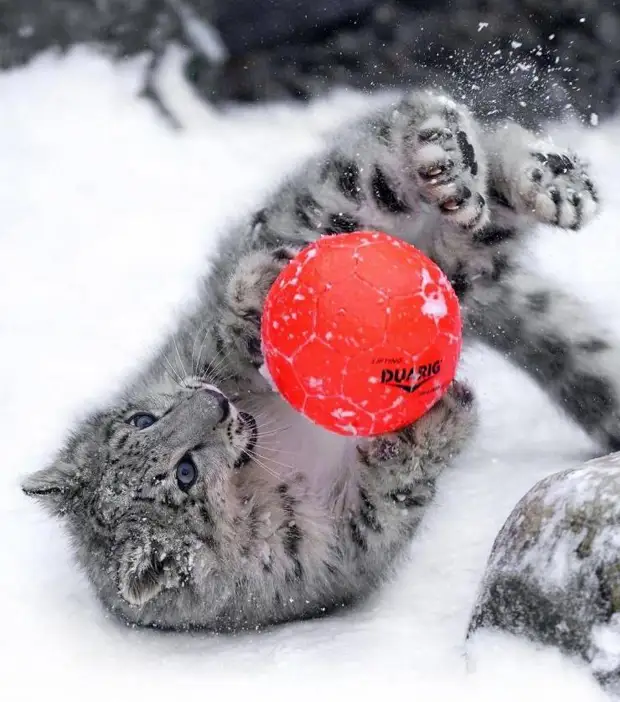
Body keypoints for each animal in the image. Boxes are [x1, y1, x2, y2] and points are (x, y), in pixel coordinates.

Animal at [21, 91, 608, 636]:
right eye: (185, 474)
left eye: (142, 419)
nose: (213, 402)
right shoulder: (338, 544)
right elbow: (389, 498)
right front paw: (432, 422)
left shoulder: (202, 351)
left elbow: (229, 326)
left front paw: (260, 291)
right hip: (458, 263)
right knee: (480, 233)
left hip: (344, 202)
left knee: (416, 146)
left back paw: (489, 169)